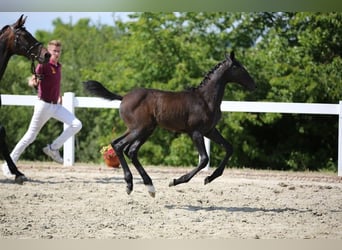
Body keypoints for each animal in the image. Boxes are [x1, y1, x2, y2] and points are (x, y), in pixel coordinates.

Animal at [84, 52, 255, 197]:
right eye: (238, 67)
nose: (253, 84)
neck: (205, 99)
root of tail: (123, 97)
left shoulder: (210, 131)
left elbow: (229, 148)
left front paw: (210, 178)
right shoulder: (196, 132)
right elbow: (204, 159)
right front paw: (176, 181)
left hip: (145, 129)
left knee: (130, 150)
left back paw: (149, 187)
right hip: (139, 129)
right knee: (119, 145)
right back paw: (130, 185)